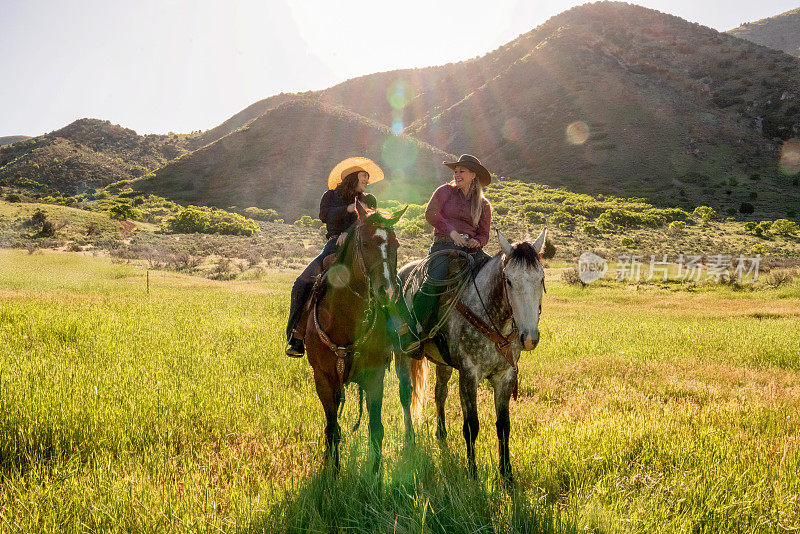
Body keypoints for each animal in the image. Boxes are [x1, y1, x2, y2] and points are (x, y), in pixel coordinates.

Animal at [306, 203, 406, 476]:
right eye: (366, 243)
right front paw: (333, 471)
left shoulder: (374, 376)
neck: (344, 319)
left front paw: (376, 474)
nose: (388, 291)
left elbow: (376, 429)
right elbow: (332, 429)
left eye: (396, 244)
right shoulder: (324, 380)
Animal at [396, 228, 552, 484]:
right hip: (402, 354)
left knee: (440, 393)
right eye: (509, 280)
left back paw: (441, 434)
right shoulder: (469, 375)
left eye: (541, 279)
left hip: (443, 364)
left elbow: (503, 426)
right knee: (406, 395)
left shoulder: (506, 376)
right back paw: (409, 438)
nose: (529, 338)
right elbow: (471, 425)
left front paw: (507, 474)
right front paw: (472, 471)